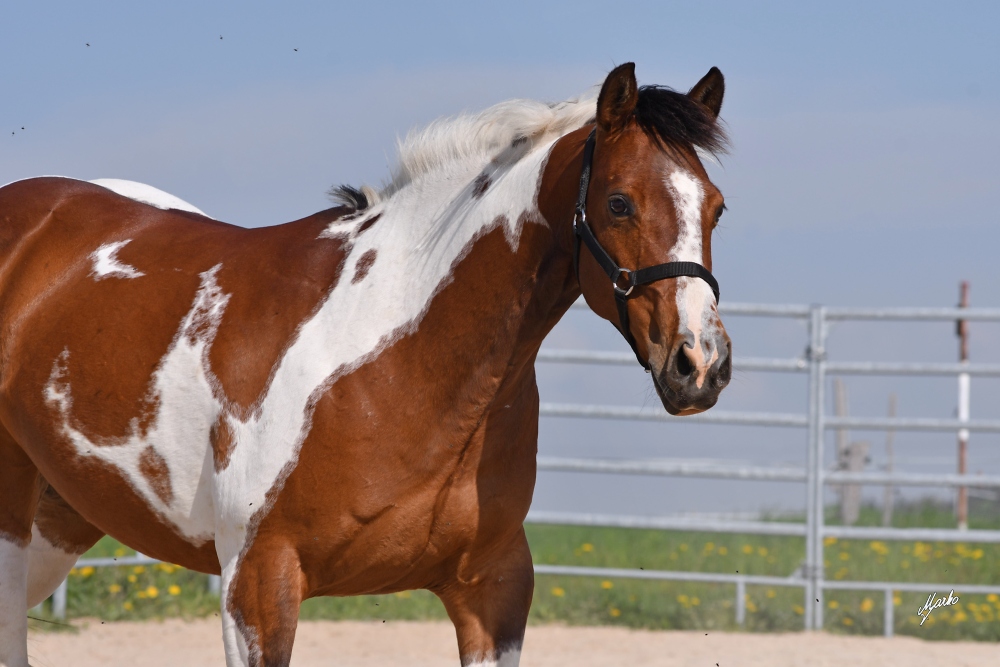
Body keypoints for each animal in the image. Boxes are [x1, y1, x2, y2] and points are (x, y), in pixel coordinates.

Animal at [0, 64, 736, 667]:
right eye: (618, 202)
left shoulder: (493, 587)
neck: (399, 361)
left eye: (716, 207)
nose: (700, 364)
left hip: (61, 517)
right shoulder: (257, 583)